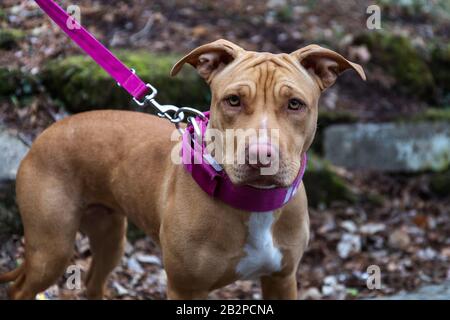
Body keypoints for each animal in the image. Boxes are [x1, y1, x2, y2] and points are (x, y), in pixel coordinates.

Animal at [0, 40, 364, 300]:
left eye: (295, 104)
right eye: (233, 100)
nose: (261, 155)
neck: (251, 203)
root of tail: (44, 133)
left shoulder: (282, 280)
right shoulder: (185, 287)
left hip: (110, 236)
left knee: (92, 283)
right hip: (52, 248)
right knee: (21, 288)